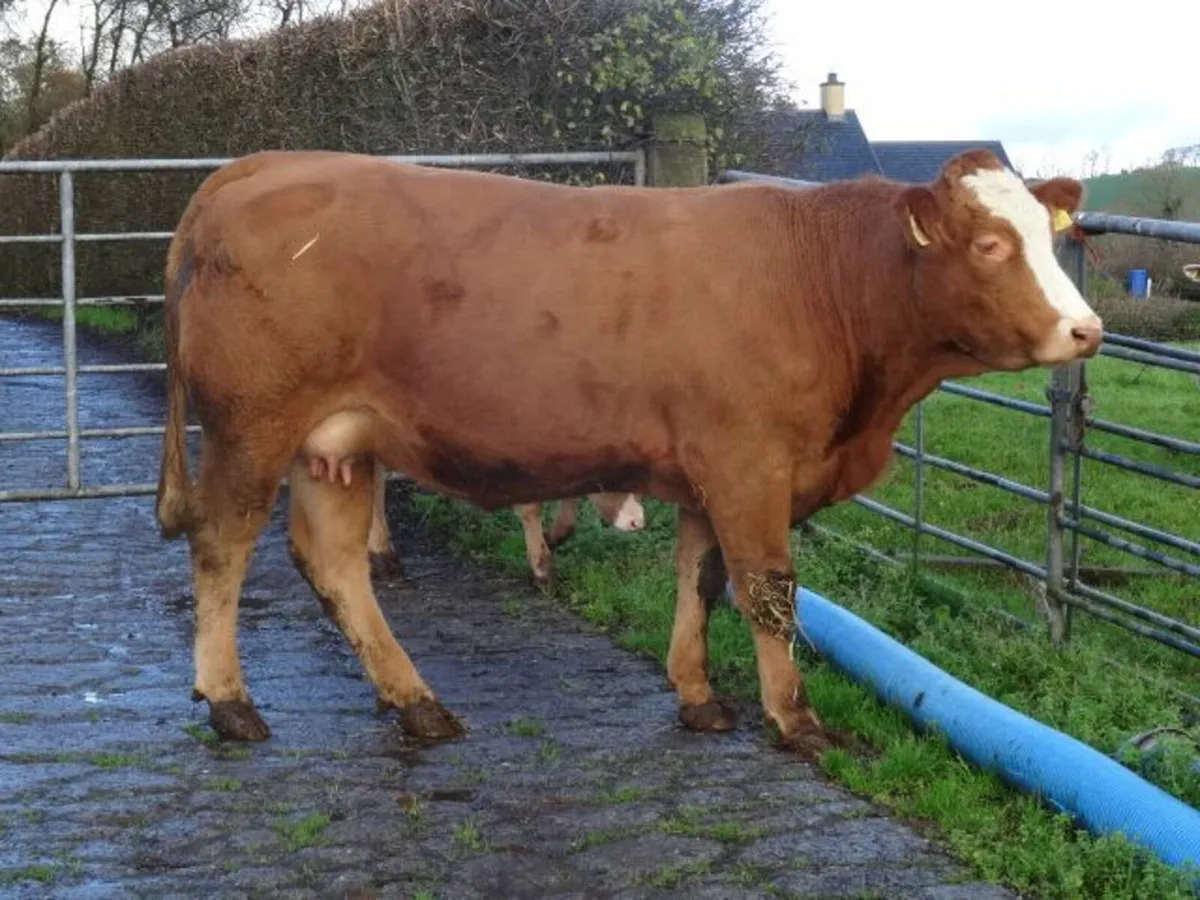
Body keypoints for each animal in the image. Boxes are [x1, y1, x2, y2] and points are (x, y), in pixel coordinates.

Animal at [155, 147, 1101, 756]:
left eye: (1052, 238)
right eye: (990, 243)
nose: (1086, 330)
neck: (820, 280)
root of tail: (262, 165)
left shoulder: (709, 472)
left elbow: (702, 578)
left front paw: (698, 695)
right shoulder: (751, 464)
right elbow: (770, 592)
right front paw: (793, 720)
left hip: (338, 446)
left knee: (335, 564)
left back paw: (416, 704)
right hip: (251, 428)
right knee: (221, 544)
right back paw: (231, 703)